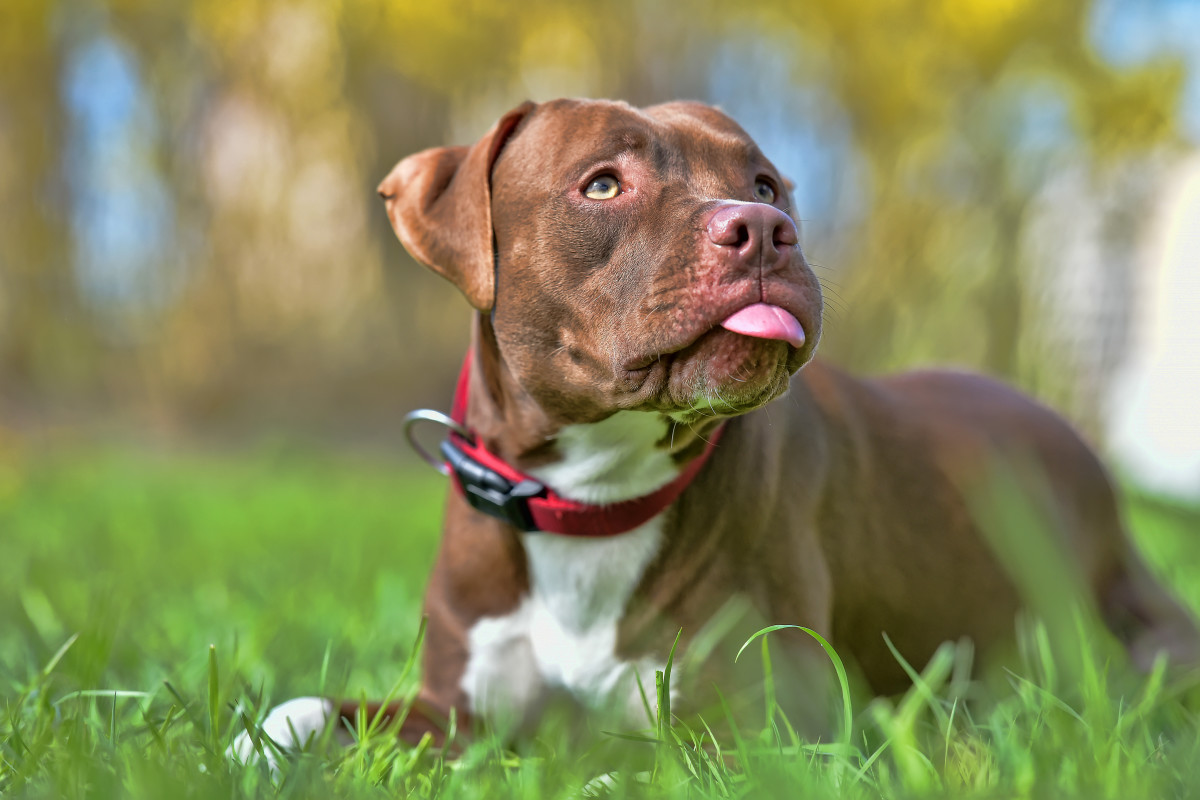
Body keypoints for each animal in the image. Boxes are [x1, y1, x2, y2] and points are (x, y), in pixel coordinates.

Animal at [229, 98, 1195, 762]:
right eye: (603, 184)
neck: (592, 499)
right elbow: (311, 712)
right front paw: (260, 740)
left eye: (763, 185)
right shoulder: (455, 711)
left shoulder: (773, 726)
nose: (766, 226)